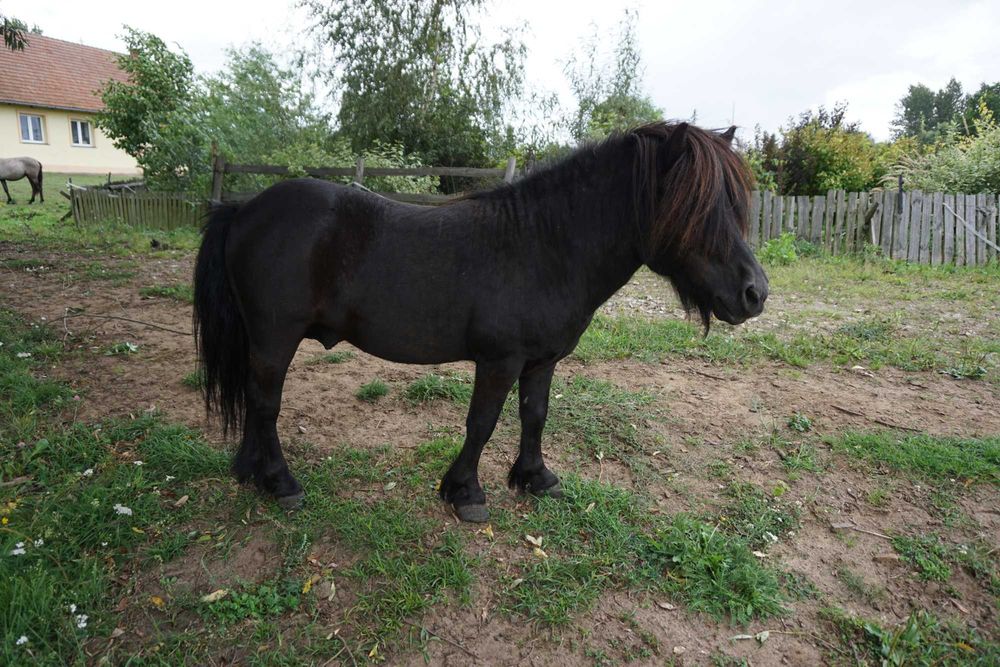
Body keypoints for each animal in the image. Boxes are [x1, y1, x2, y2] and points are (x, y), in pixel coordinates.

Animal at [193, 121, 768, 522]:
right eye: (697, 208)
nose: (755, 293)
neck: (544, 245)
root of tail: (244, 209)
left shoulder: (542, 360)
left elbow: (535, 416)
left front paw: (534, 477)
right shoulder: (499, 361)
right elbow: (482, 423)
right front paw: (464, 492)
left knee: (254, 401)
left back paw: (250, 472)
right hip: (275, 338)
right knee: (266, 404)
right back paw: (281, 482)